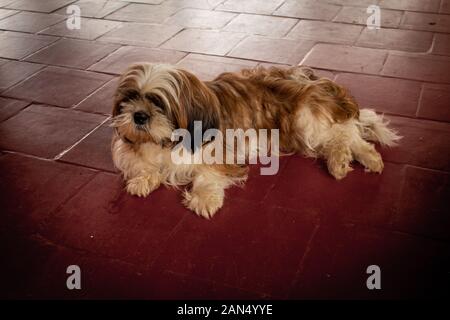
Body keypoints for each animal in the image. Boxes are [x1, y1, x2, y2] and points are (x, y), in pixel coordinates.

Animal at [110, 63, 400, 218]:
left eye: (158, 103)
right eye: (130, 98)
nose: (139, 115)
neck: (165, 143)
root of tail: (321, 82)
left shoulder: (220, 153)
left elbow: (208, 174)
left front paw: (204, 198)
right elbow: (145, 166)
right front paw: (143, 179)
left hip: (305, 119)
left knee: (343, 133)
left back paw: (349, 160)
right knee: (346, 135)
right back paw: (357, 160)